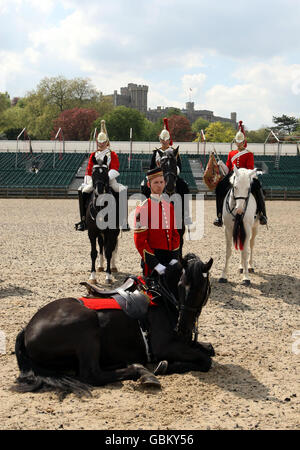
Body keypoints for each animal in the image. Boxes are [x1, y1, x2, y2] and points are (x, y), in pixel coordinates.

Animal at [13, 255, 213, 396]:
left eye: (202, 288)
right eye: (180, 284)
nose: (183, 327)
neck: (162, 298)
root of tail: (27, 329)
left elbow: (208, 349)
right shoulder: (165, 347)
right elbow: (205, 360)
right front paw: (165, 366)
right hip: (86, 325)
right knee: (91, 374)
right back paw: (141, 371)